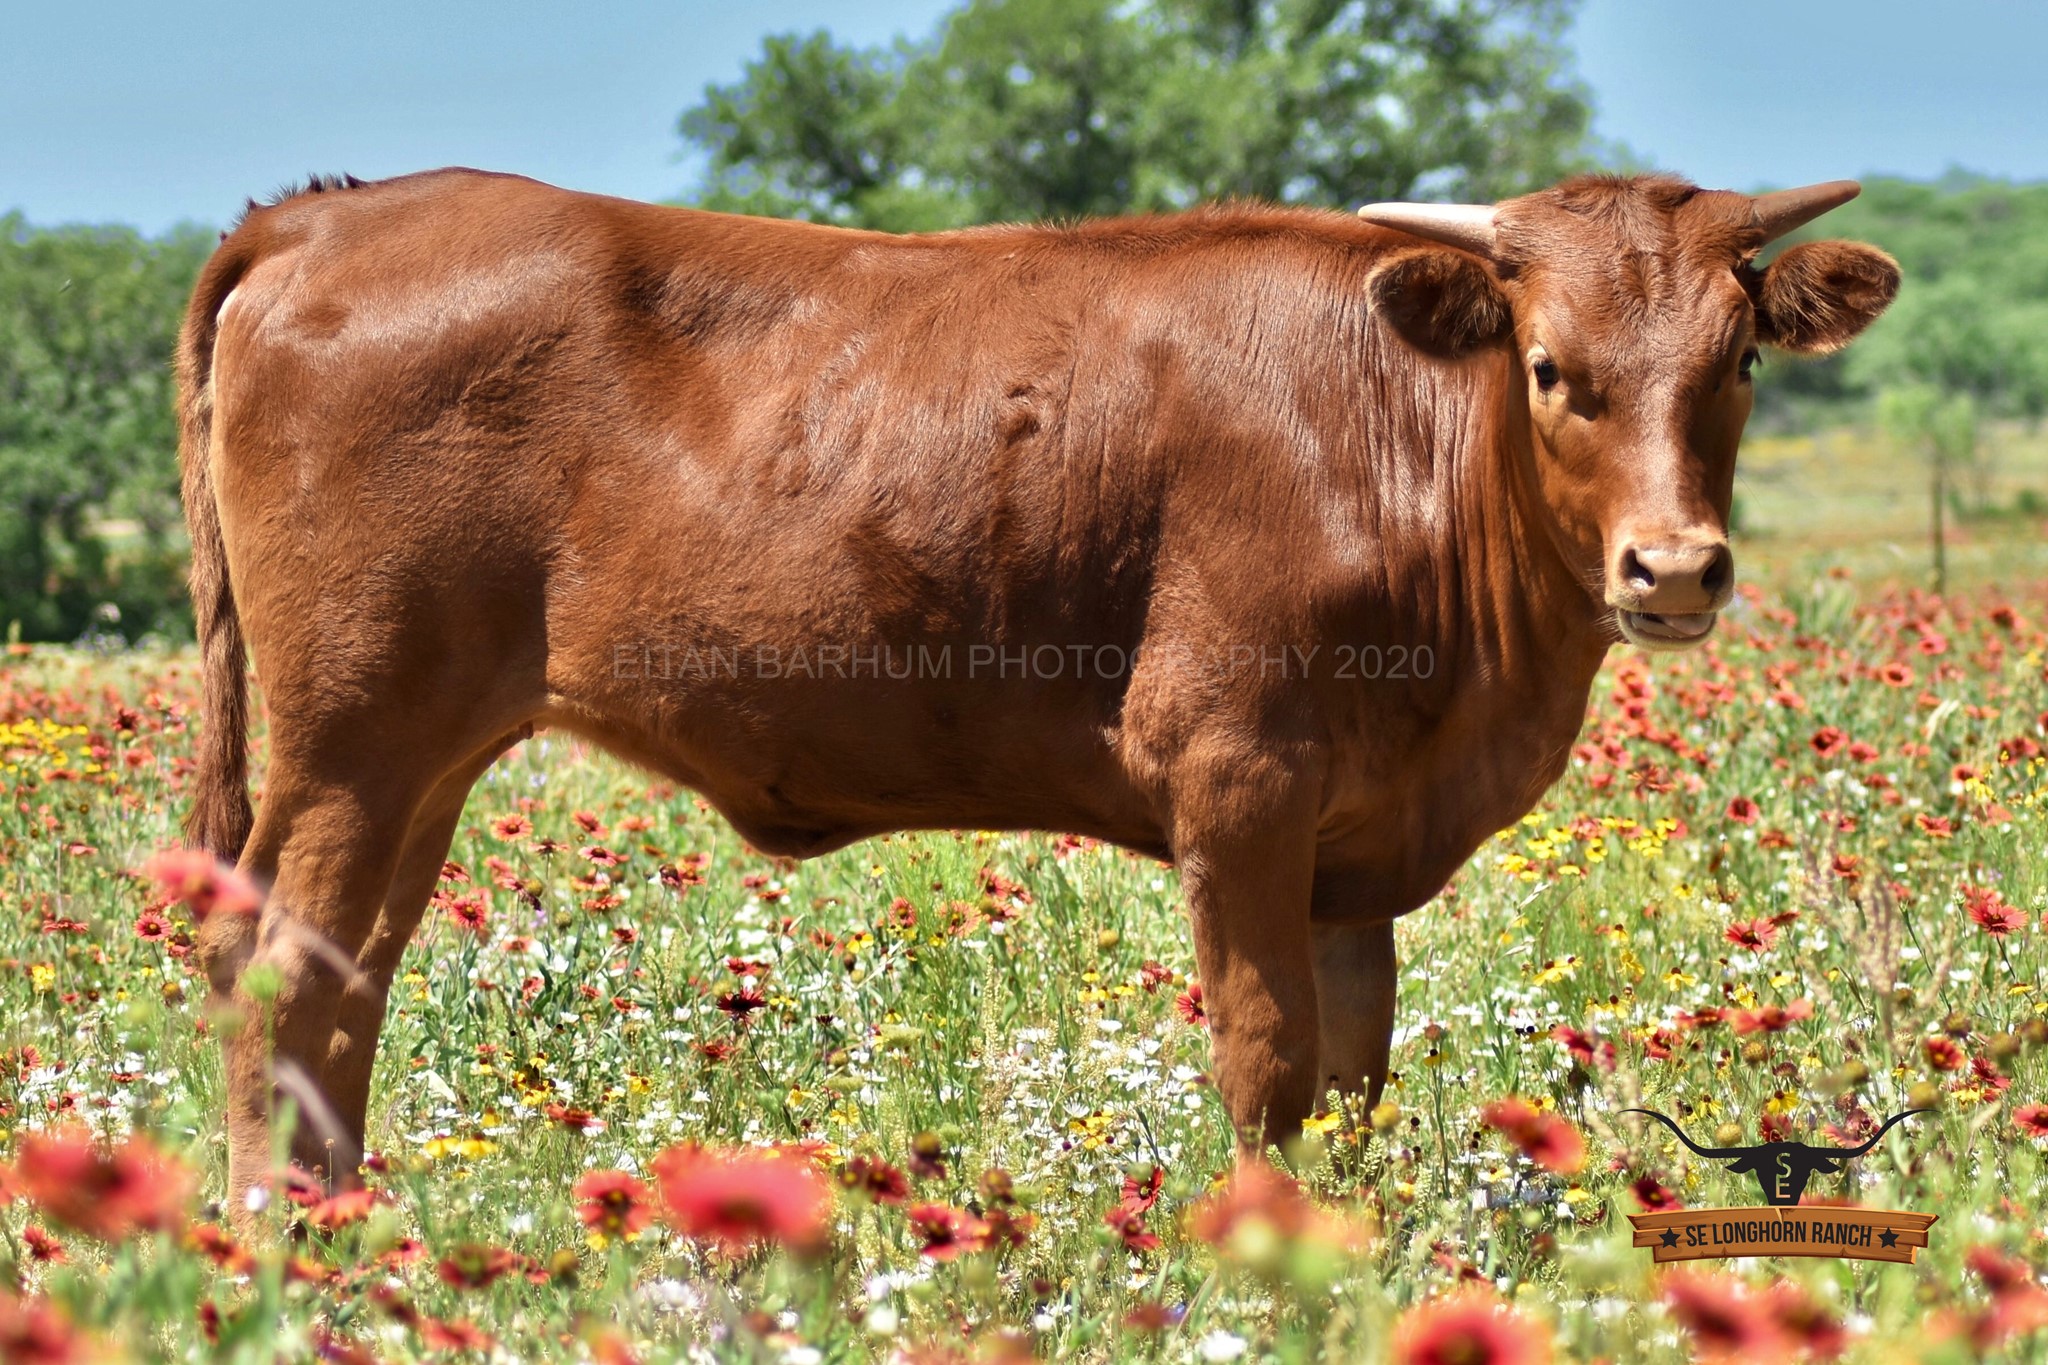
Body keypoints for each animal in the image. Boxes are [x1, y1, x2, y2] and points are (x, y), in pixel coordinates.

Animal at [177, 168, 1898, 1214]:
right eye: (1549, 367)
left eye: (1742, 359)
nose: (1674, 568)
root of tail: (331, 219)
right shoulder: (1238, 780)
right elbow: (1269, 1063)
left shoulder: (1352, 852)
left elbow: (1354, 1074)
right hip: (349, 745)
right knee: (280, 973)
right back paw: (284, 1236)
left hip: (418, 760)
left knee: (348, 978)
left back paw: (346, 1214)